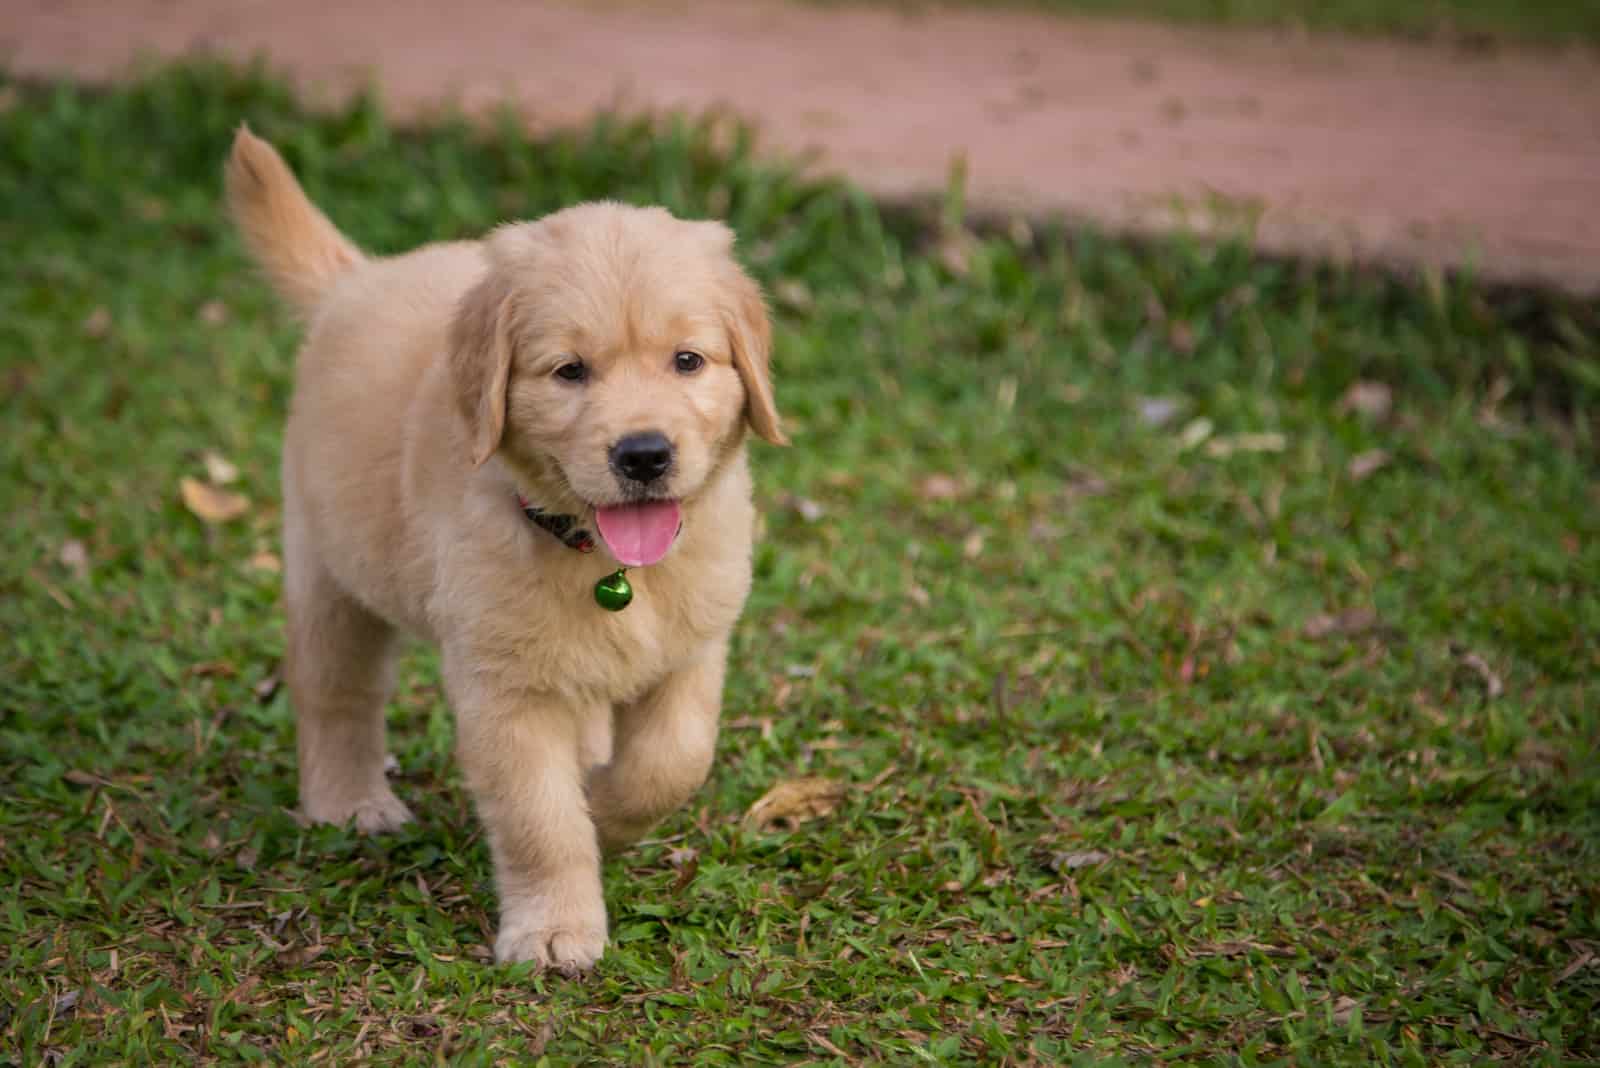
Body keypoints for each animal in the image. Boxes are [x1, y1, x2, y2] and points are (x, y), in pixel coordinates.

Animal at [224, 127, 780, 978]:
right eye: (569, 371)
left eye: (688, 360)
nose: (644, 455)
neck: (605, 565)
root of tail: (358, 278)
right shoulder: (503, 691)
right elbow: (540, 820)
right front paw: (554, 927)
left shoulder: (694, 648)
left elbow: (671, 763)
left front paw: (607, 809)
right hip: (328, 571)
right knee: (335, 696)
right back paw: (349, 802)